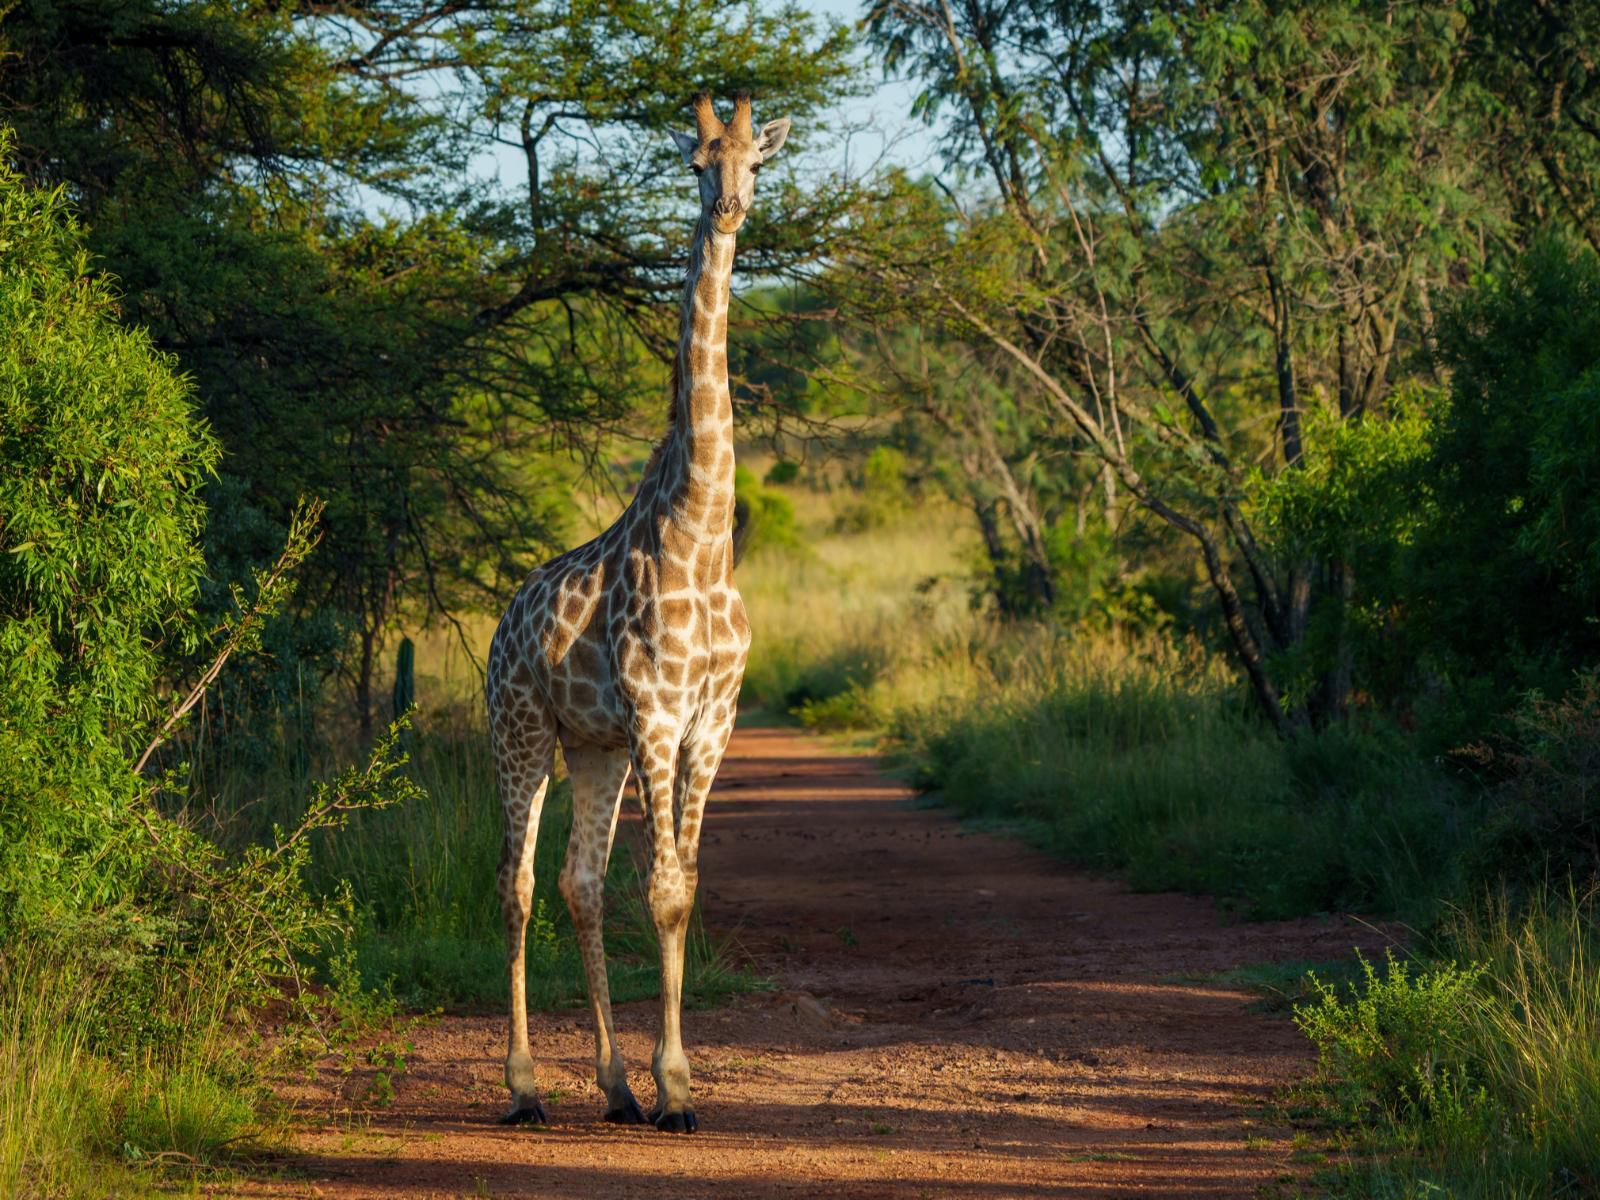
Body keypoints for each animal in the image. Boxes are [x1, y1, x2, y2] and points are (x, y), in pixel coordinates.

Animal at [483, 94, 790, 1139]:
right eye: (697, 159)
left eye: (754, 161)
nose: (729, 208)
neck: (703, 530)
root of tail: (500, 627)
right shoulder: (657, 715)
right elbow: (657, 893)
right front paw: (679, 1089)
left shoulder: (712, 722)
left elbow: (682, 889)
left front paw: (662, 1082)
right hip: (522, 729)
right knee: (518, 885)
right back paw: (525, 1088)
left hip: (592, 748)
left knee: (576, 883)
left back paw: (610, 1087)